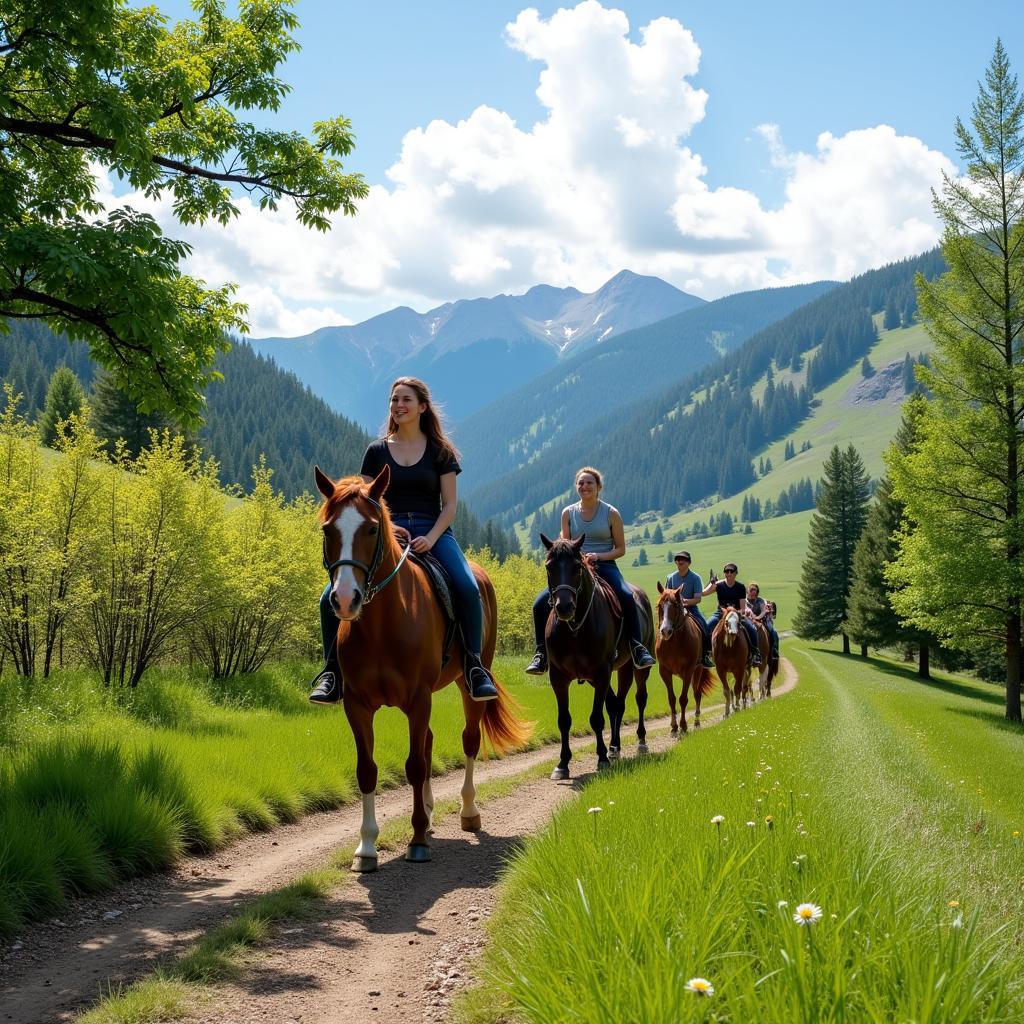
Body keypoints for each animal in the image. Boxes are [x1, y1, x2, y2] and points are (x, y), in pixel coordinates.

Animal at [315, 466, 532, 872]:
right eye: (328, 530)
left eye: (371, 529)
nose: (346, 599)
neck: (383, 623)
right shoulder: (357, 704)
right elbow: (367, 769)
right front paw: (366, 847)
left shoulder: (417, 699)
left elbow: (415, 765)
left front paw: (416, 842)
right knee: (430, 741)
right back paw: (430, 813)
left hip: (468, 684)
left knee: (468, 740)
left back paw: (468, 812)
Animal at [536, 532, 655, 778]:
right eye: (549, 566)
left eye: (577, 566)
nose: (564, 607)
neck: (575, 629)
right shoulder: (559, 677)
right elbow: (564, 720)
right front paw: (563, 763)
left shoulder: (601, 673)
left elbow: (596, 718)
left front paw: (601, 759)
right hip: (615, 671)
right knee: (616, 704)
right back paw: (614, 747)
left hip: (636, 668)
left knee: (639, 698)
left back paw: (640, 742)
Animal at [651, 581, 716, 733]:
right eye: (659, 605)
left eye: (675, 605)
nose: (665, 631)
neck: (674, 641)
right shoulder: (665, 671)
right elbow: (672, 698)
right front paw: (674, 726)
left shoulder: (688, 670)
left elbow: (683, 698)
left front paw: (683, 725)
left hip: (697, 670)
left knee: (697, 694)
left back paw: (697, 722)